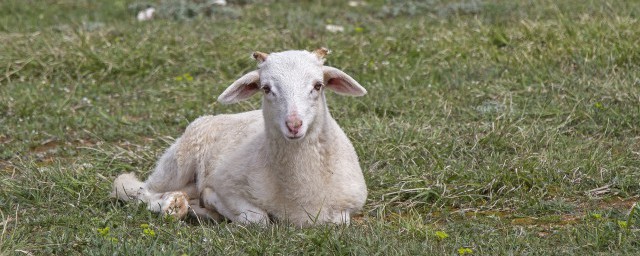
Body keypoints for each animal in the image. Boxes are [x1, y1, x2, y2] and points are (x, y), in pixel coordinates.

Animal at [112, 48, 368, 226]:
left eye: (318, 85)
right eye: (266, 88)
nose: (294, 125)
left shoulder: (348, 206)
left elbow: (340, 221)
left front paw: (207, 208)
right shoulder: (228, 186)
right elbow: (259, 219)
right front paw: (211, 202)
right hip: (178, 161)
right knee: (139, 191)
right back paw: (173, 206)